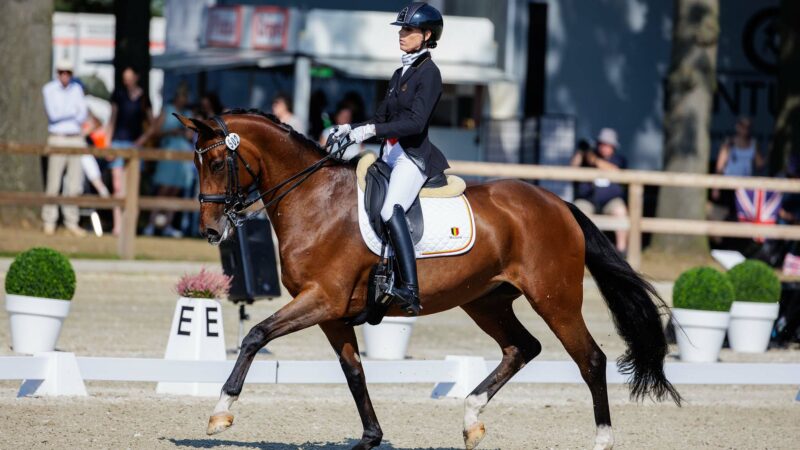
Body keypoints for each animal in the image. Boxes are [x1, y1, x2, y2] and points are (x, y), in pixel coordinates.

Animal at [173, 110, 676, 450]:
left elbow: (255, 335)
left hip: (555, 299)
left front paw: (220, 413)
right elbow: (354, 372)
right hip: (486, 300)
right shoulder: (333, 314)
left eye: (215, 164)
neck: (314, 201)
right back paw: (471, 419)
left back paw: (602, 439)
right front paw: (371, 437)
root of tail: (557, 204)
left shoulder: (323, 299)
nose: (211, 231)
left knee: (589, 358)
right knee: (522, 348)